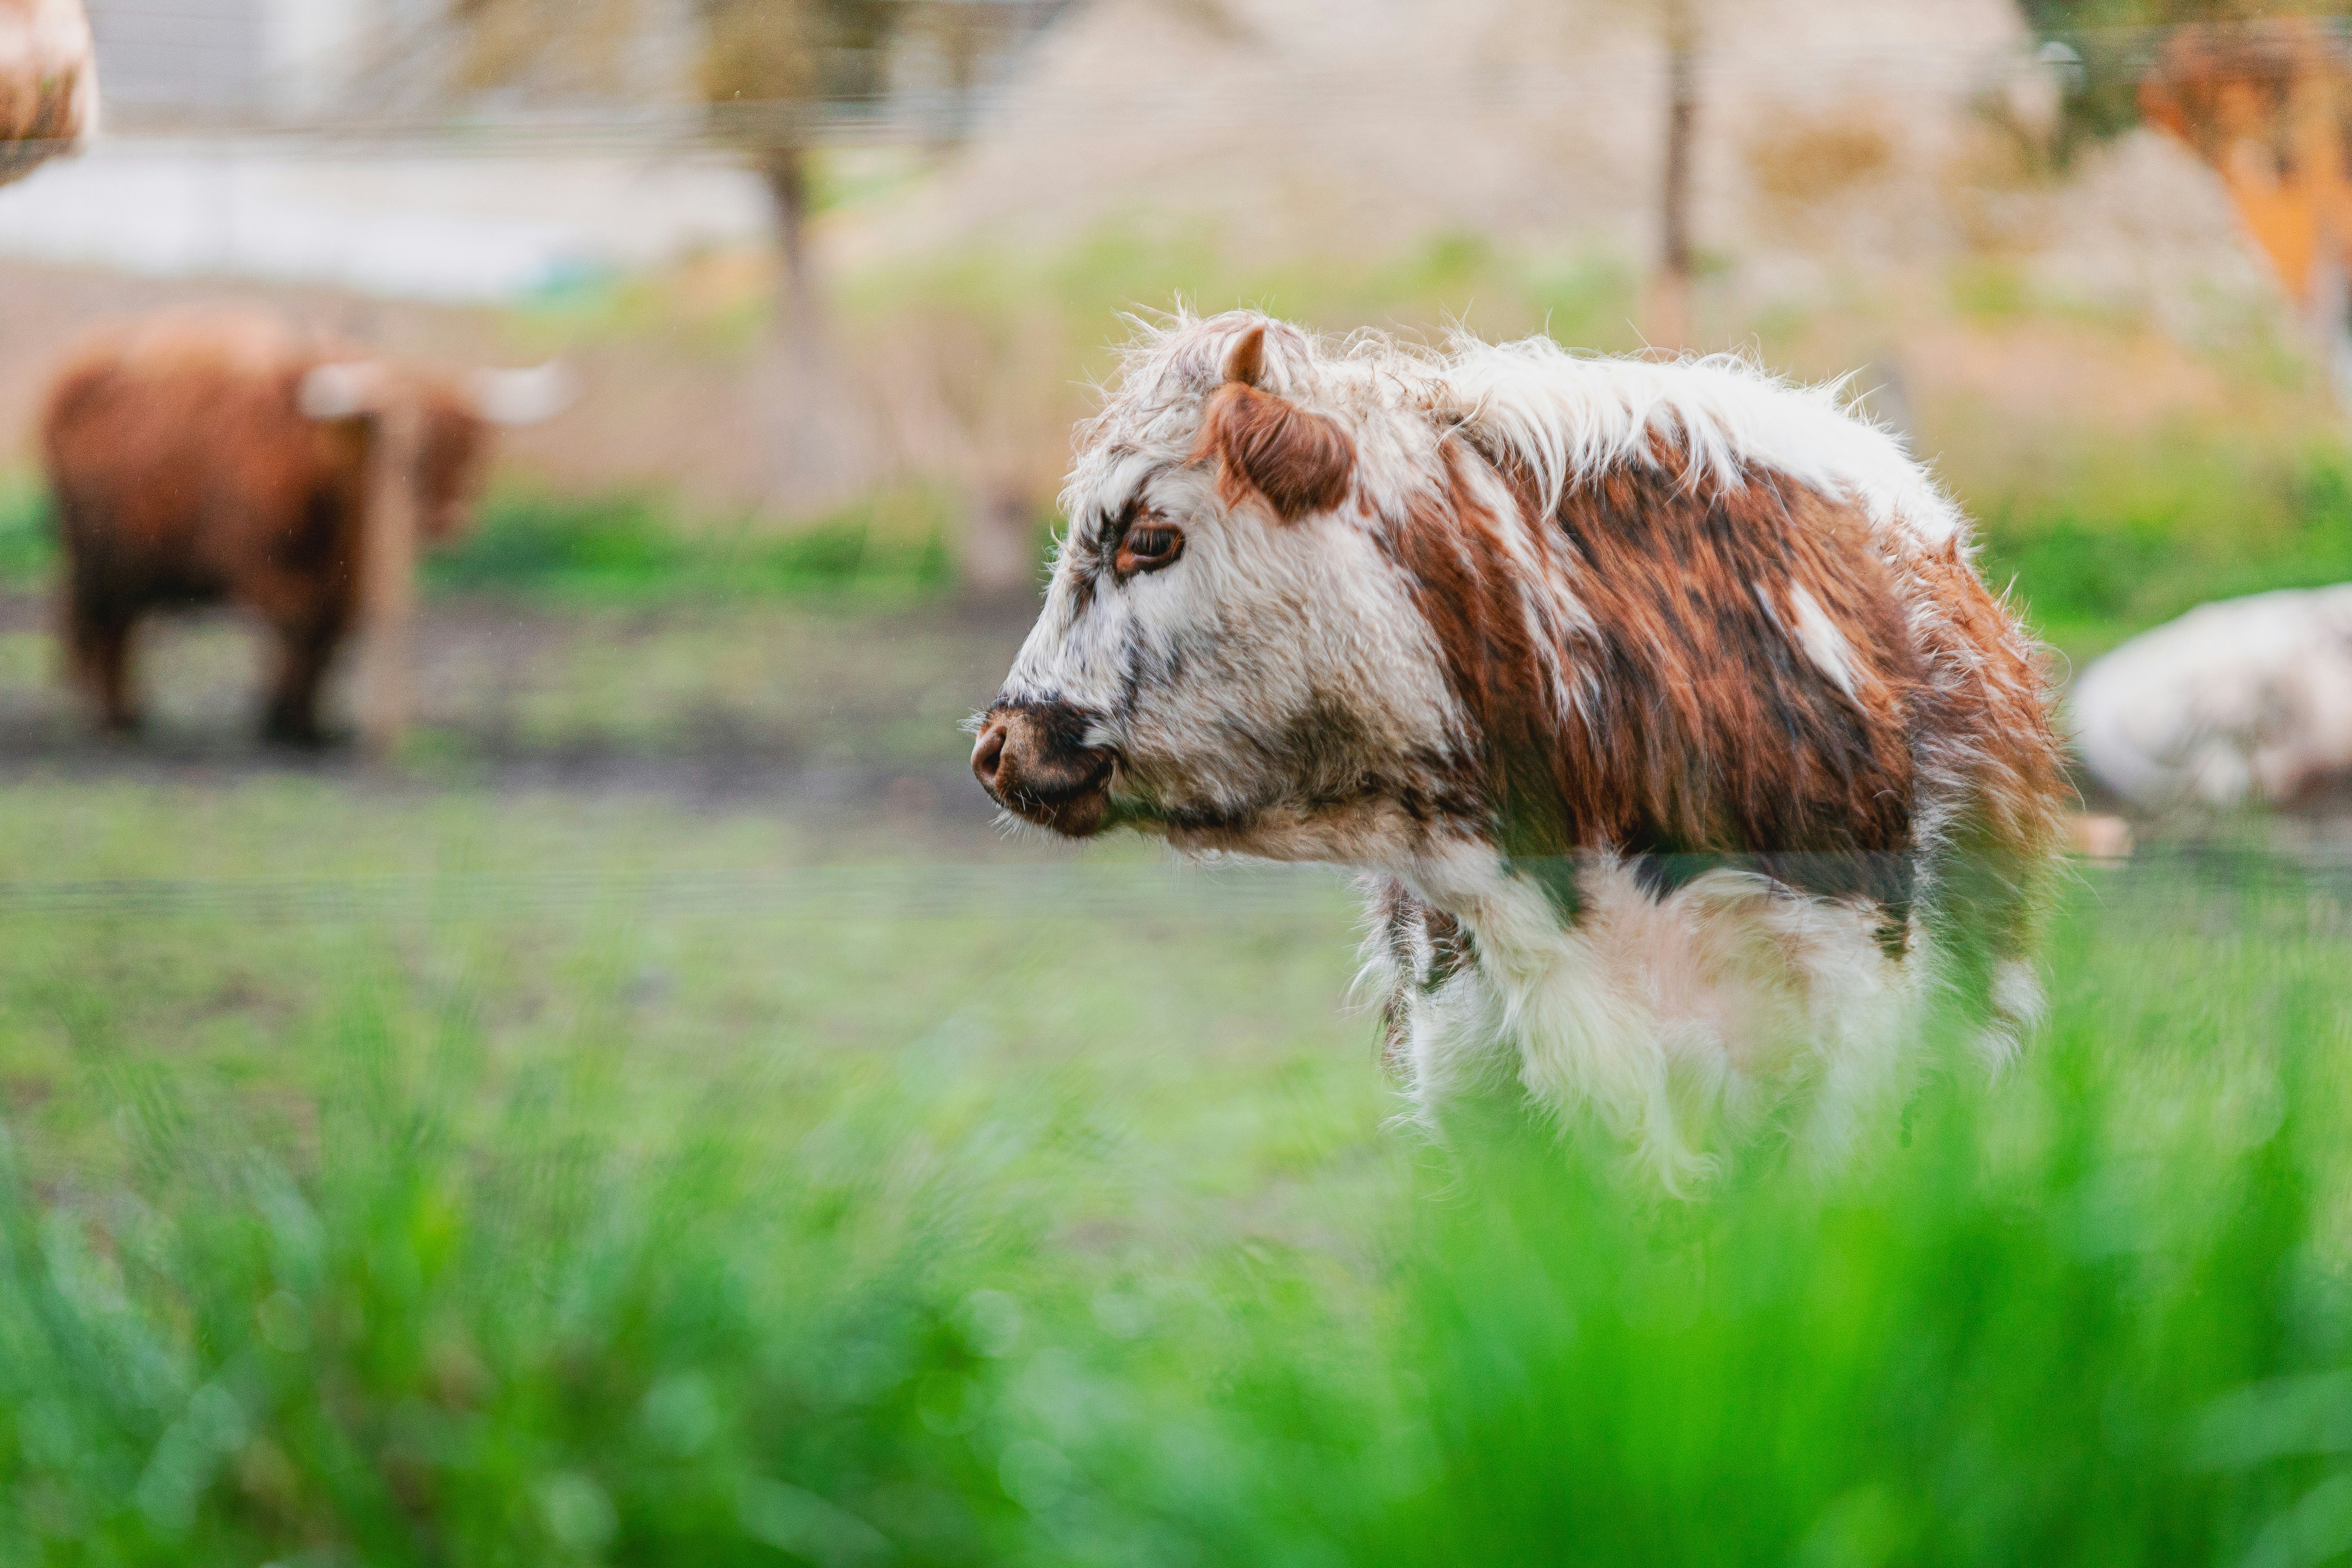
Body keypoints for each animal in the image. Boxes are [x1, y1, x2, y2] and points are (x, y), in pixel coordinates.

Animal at [38, 310, 570, 744]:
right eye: (400, 453)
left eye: (469, 448)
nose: (445, 520)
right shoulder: (264, 565)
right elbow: (299, 625)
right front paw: (281, 721)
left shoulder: (349, 581)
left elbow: (329, 635)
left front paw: (306, 723)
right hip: (100, 550)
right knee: (106, 622)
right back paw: (116, 717)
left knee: (111, 620)